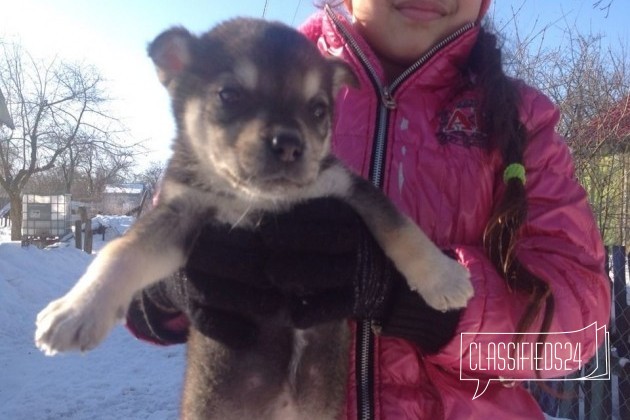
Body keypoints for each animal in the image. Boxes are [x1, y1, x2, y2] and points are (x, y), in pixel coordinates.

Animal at [32, 18, 472, 418]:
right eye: (229, 94)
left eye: (318, 110)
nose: (290, 145)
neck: (259, 200)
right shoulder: (181, 213)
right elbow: (123, 251)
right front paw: (76, 310)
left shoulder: (348, 188)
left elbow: (401, 227)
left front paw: (445, 278)